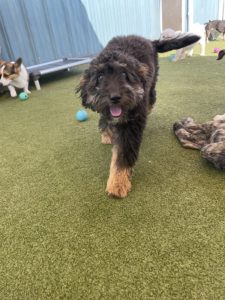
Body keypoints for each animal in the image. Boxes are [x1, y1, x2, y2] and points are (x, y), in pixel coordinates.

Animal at [76, 34, 200, 198]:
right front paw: (106, 134)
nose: (115, 97)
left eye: (124, 74)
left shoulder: (131, 125)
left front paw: (118, 182)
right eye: (100, 77)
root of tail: (149, 41)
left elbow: (123, 153)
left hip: (152, 85)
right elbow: (104, 118)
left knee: (151, 99)